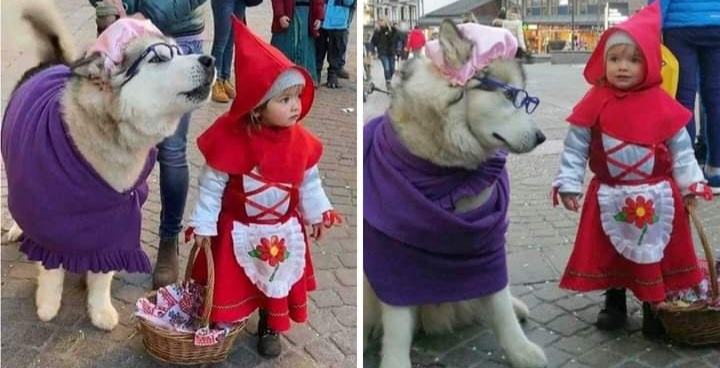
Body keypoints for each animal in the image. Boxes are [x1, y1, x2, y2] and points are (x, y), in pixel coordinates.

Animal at [4, 1, 214, 330]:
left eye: (180, 51)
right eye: (159, 57)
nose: (210, 60)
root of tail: (51, 63)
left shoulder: (116, 216)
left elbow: (102, 272)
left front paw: (100, 310)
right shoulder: (47, 212)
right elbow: (51, 268)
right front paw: (48, 305)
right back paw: (16, 229)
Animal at [362, 20, 548, 368]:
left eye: (525, 98)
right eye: (509, 95)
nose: (542, 137)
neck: (445, 169)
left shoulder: (486, 242)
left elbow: (498, 299)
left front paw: (519, 349)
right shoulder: (392, 255)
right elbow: (397, 323)